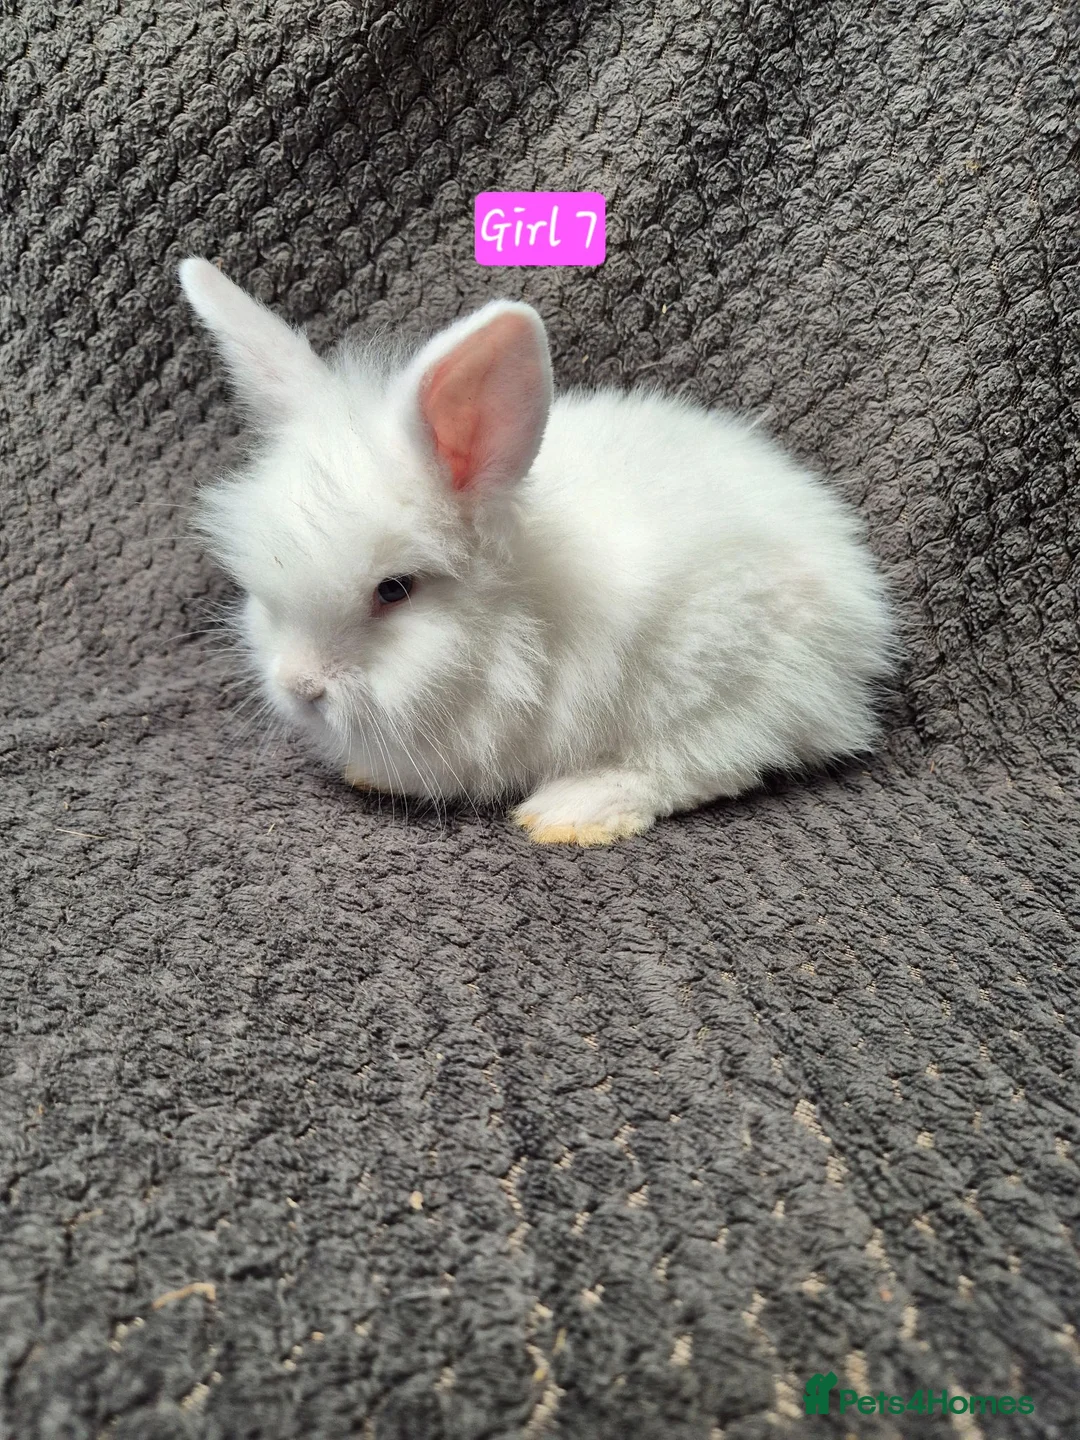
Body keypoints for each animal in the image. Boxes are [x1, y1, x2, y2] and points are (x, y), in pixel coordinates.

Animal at [178, 258, 895, 845]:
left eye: (395, 589)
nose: (301, 687)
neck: (515, 624)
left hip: (721, 678)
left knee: (712, 761)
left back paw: (572, 811)